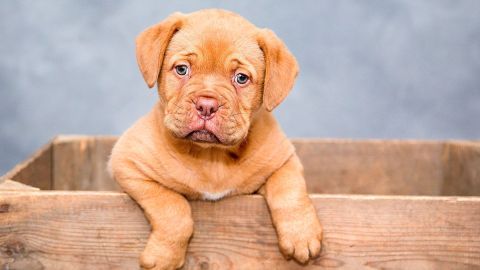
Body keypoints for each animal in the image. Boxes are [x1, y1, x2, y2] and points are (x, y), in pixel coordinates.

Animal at [109, 8, 322, 270]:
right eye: (182, 69)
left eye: (241, 78)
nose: (206, 105)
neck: (211, 155)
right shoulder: (128, 163)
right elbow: (172, 207)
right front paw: (164, 257)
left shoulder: (283, 159)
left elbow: (289, 189)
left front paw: (301, 235)